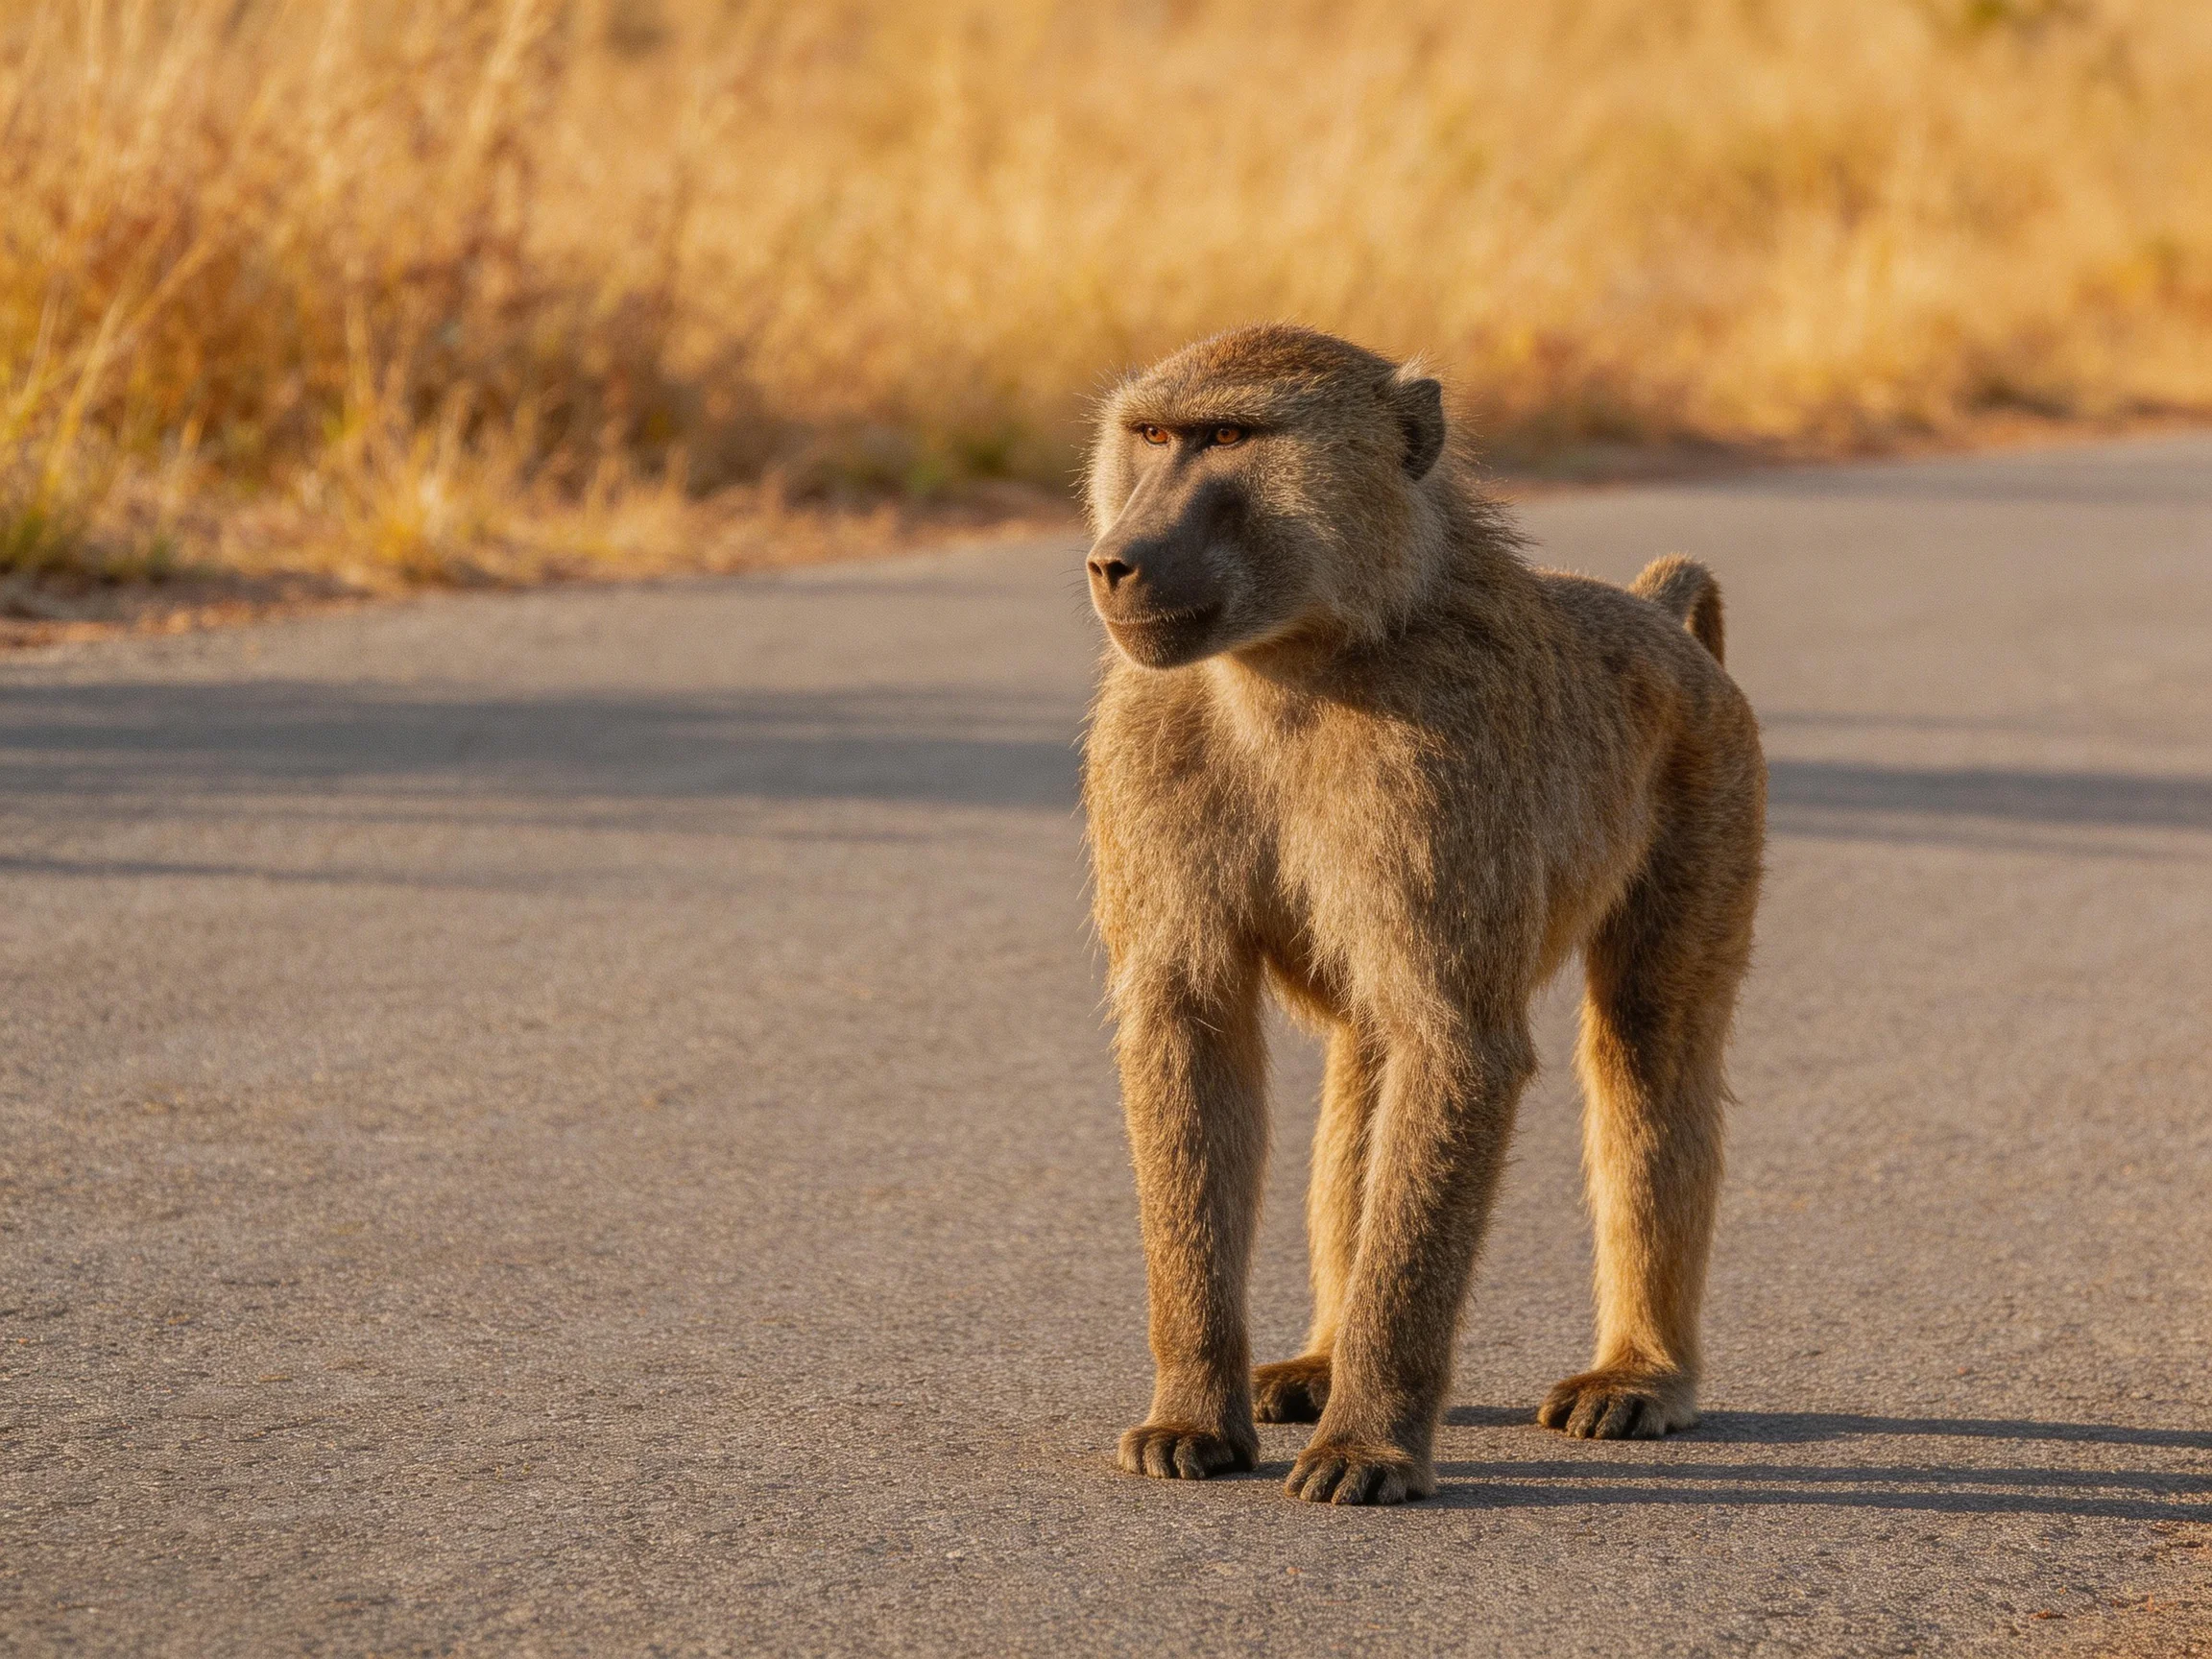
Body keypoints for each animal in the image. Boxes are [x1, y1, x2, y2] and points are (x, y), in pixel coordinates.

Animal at [1080, 324, 1764, 1505]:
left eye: (1231, 438)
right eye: (1155, 436)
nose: (1117, 560)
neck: (1291, 665)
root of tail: (1662, 623)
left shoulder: (1438, 762)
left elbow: (1458, 1047)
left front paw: (1369, 1443)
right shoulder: (1145, 735)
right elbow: (1190, 1025)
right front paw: (1192, 1416)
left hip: (1716, 789)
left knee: (1649, 1046)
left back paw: (1640, 1373)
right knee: (1370, 1051)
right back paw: (1318, 1358)